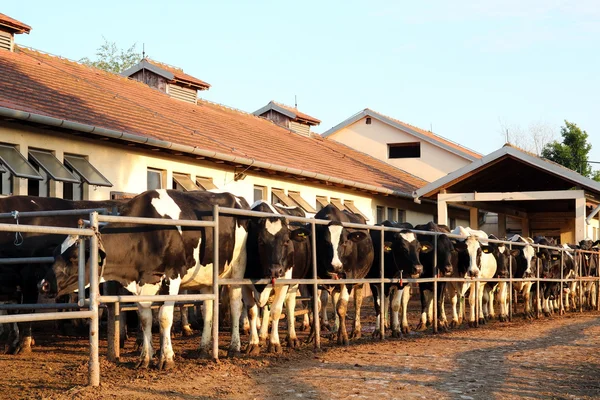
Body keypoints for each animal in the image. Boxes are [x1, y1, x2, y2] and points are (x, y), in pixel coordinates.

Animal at [40, 189, 248, 370]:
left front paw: (166, 358)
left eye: (75, 256)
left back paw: (234, 347)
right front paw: (145, 358)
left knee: (236, 303)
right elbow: (145, 318)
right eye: (54, 252)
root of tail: (237, 198)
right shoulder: (143, 281)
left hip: (237, 268)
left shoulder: (173, 276)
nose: (44, 285)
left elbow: (164, 317)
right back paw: (203, 349)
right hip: (206, 276)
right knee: (208, 308)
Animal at [243, 202, 310, 354]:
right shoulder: (243, 283)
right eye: (260, 241)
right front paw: (253, 343)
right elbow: (252, 312)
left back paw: (292, 337)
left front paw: (274, 343)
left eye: (286, 241)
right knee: (265, 308)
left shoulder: (283, 283)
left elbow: (276, 311)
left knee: (290, 305)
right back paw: (262, 335)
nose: (275, 270)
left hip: (294, 282)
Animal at [312, 205, 372, 346]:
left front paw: (343, 337)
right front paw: (313, 335)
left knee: (357, 302)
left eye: (344, 242)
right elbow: (317, 305)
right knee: (334, 299)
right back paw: (335, 330)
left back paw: (355, 331)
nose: (336, 266)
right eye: (325, 242)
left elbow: (342, 308)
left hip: (360, 279)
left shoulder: (348, 276)